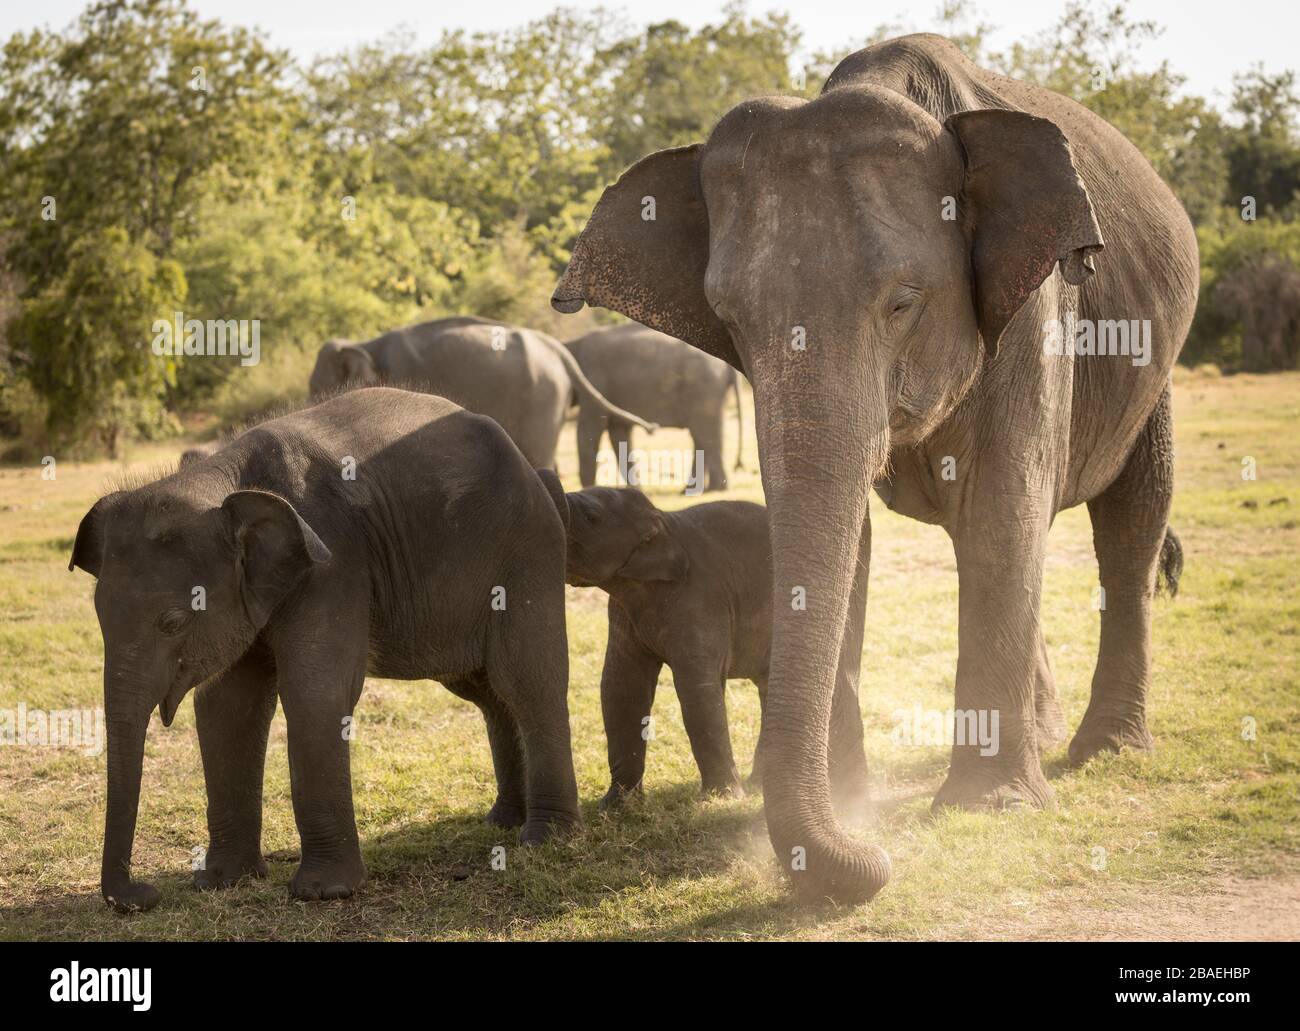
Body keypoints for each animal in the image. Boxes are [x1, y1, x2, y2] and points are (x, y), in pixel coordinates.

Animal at [70, 387, 580, 913]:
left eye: (172, 622)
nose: (143, 895)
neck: (222, 477)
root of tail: (537, 474)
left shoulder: (334, 564)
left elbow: (315, 695)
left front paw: (324, 893)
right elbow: (227, 705)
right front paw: (220, 881)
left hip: (526, 551)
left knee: (528, 681)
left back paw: (545, 837)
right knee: (488, 693)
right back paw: (503, 820)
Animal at [557, 485, 773, 803]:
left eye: (591, 516)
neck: (662, 520)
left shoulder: (700, 596)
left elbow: (696, 687)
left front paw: (722, 799)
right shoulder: (622, 607)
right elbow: (622, 686)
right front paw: (618, 803)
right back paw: (760, 785)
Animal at [565, 323, 745, 491]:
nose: (652, 428)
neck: (573, 344)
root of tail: (728, 366)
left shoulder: (594, 381)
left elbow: (588, 430)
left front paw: (588, 489)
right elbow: (619, 433)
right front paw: (636, 490)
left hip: (703, 385)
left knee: (705, 433)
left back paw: (715, 489)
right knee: (703, 434)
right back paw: (693, 490)